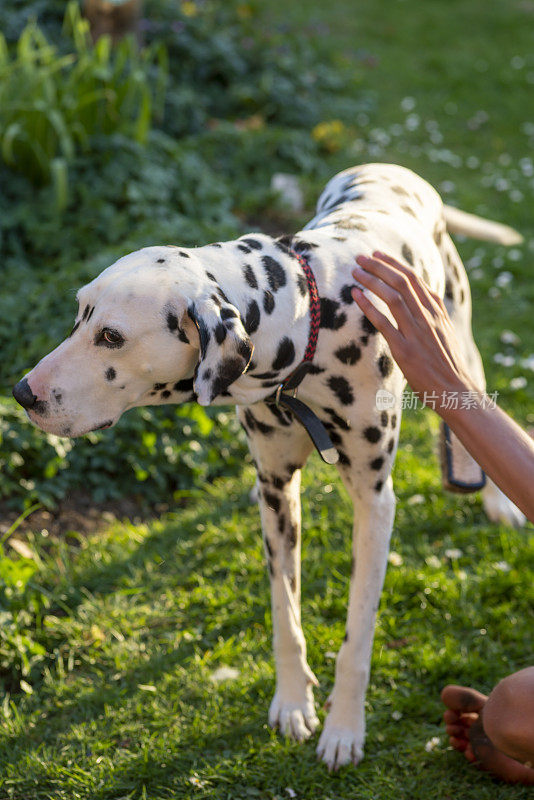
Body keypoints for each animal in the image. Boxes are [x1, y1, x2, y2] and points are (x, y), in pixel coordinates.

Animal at [13, 162, 528, 768]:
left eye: (111, 335)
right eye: (79, 315)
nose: (23, 393)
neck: (307, 327)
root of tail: (391, 166)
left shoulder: (375, 503)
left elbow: (357, 634)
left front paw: (344, 726)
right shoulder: (279, 493)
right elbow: (286, 614)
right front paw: (292, 702)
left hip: (457, 340)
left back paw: (495, 498)